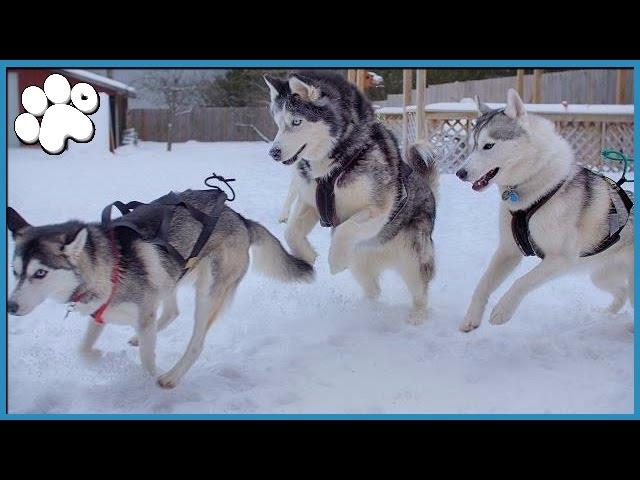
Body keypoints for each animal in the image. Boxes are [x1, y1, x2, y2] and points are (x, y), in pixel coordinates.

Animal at [7, 188, 312, 390]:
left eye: (40, 273)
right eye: (15, 271)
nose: (10, 306)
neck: (107, 266)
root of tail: (241, 219)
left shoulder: (143, 311)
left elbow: (147, 360)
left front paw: (150, 377)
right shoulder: (102, 312)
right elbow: (83, 349)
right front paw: (97, 357)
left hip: (207, 292)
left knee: (196, 342)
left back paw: (172, 376)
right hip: (171, 272)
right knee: (172, 311)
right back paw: (140, 338)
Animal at [262, 71, 438, 324]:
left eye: (296, 121)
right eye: (278, 122)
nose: (273, 152)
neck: (334, 165)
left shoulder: (378, 208)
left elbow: (344, 229)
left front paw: (335, 261)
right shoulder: (310, 202)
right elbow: (291, 232)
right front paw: (307, 254)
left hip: (412, 257)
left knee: (420, 291)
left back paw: (417, 316)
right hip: (361, 265)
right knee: (373, 289)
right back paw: (366, 309)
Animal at [458, 88, 632, 332]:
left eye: (488, 146)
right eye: (472, 145)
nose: (460, 173)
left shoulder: (561, 259)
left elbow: (522, 282)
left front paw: (503, 310)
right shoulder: (507, 251)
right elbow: (482, 284)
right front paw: (472, 317)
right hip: (602, 275)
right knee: (621, 293)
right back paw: (606, 315)